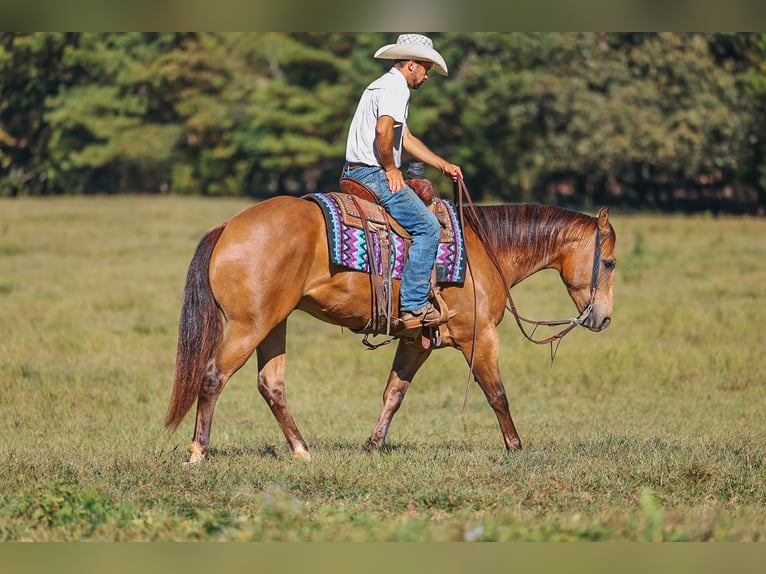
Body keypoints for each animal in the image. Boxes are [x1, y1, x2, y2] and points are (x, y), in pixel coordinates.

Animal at [165, 192, 616, 464]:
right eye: (609, 262)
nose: (604, 318)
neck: (485, 249)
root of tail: (227, 228)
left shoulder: (417, 342)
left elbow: (394, 394)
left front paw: (374, 445)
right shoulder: (480, 336)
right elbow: (497, 394)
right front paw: (516, 447)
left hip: (274, 324)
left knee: (270, 385)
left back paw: (302, 451)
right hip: (249, 326)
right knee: (213, 376)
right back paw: (197, 452)